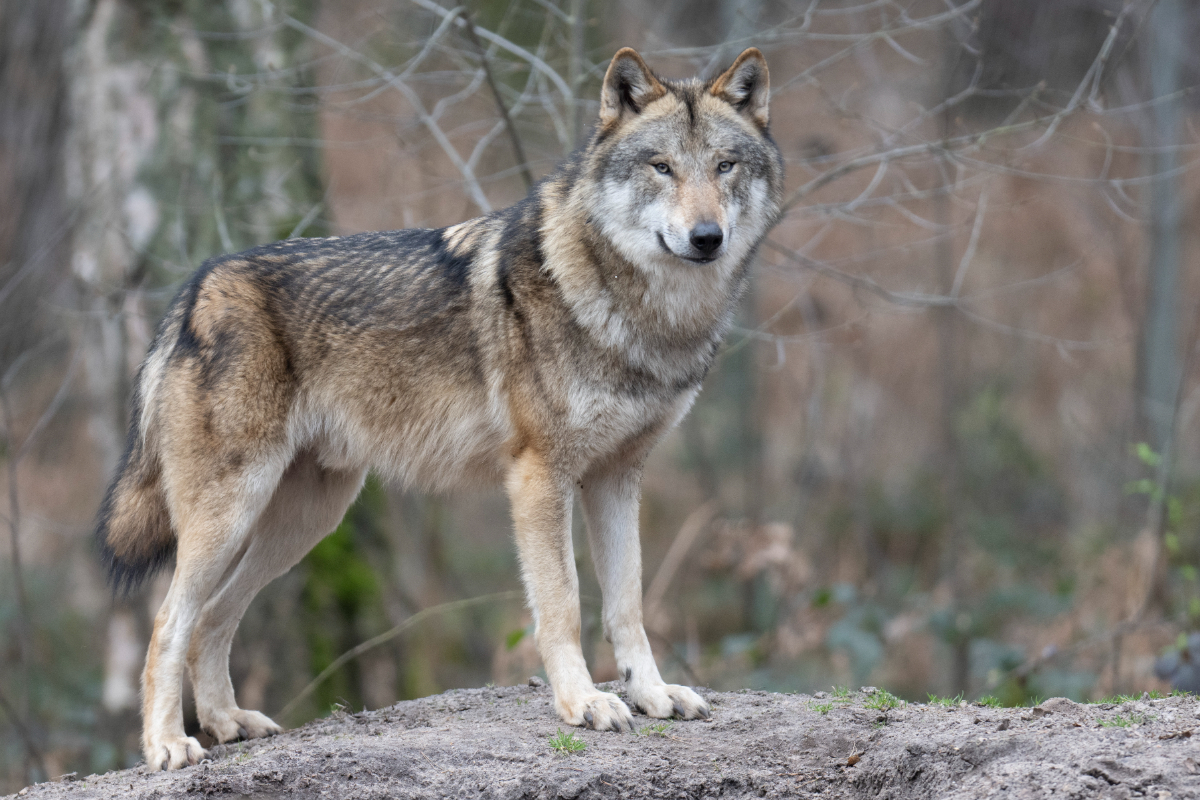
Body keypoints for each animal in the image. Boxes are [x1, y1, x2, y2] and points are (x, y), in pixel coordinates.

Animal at [96, 46, 783, 770]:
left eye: (724, 166)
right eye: (661, 167)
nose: (706, 237)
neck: (642, 317)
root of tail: (194, 289)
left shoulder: (617, 479)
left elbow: (627, 605)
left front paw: (651, 694)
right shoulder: (540, 477)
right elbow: (563, 605)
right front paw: (583, 703)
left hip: (304, 522)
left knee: (213, 618)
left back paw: (228, 723)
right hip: (233, 514)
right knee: (168, 622)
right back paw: (167, 744)